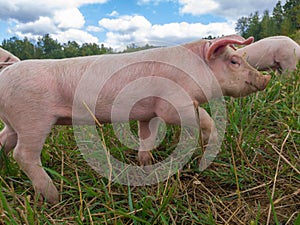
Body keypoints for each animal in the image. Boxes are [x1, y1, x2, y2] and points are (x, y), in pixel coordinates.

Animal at [0, 34, 272, 204]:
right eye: (234, 61)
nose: (266, 79)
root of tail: (5, 76)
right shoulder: (173, 105)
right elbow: (203, 117)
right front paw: (208, 142)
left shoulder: (147, 112)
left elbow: (146, 137)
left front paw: (145, 164)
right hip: (32, 120)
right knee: (23, 154)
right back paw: (53, 197)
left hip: (14, 122)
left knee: (4, 140)